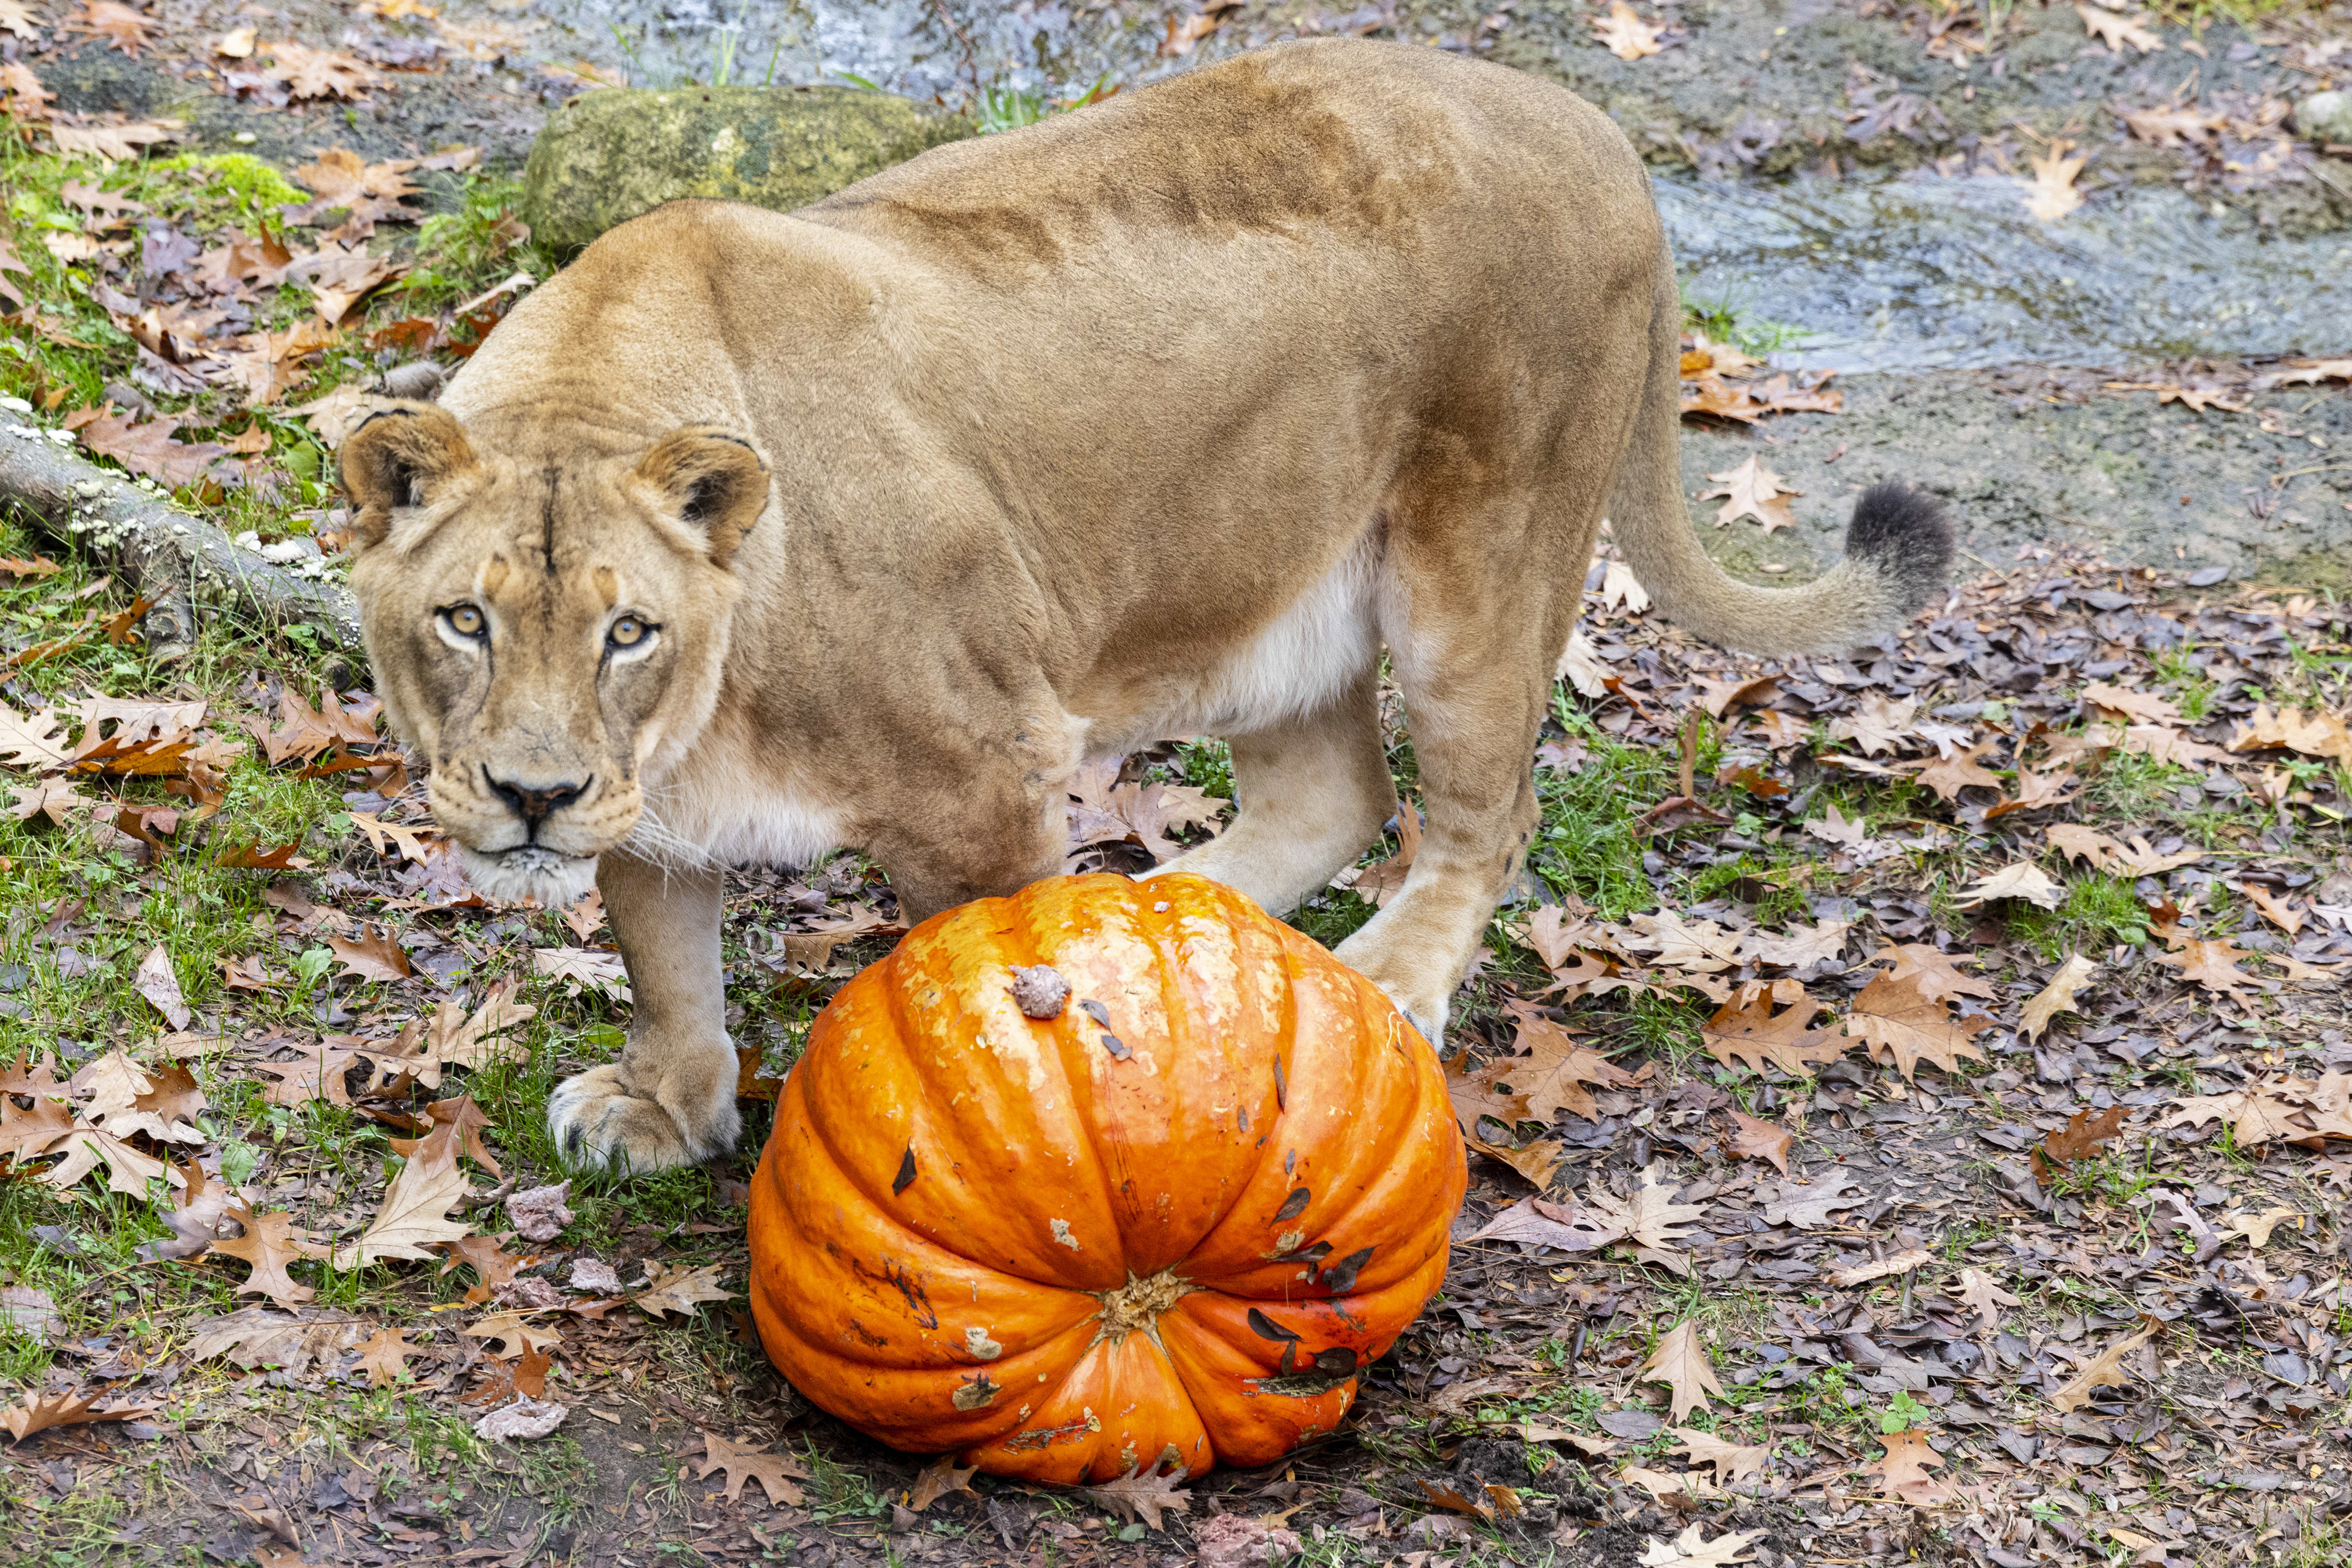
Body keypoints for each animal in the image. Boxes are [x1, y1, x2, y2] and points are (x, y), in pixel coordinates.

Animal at [340, 38, 1950, 1172]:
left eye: (630, 633)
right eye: (467, 621)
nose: (531, 798)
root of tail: (1594, 126)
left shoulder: (984, 773)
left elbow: (988, 994)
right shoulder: (652, 809)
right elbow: (666, 962)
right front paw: (668, 1111)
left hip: (1479, 575)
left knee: (1483, 817)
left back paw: (1378, 984)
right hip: (1264, 600)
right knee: (1334, 798)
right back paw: (1172, 934)